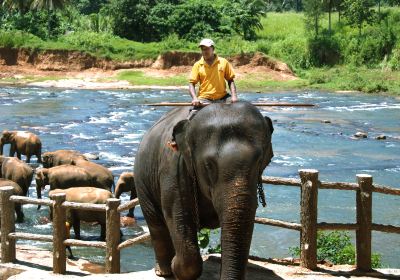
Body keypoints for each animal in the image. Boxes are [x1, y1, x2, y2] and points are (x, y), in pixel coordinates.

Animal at [134, 101, 276, 280]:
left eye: (259, 161)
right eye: (208, 165)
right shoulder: (173, 169)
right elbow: (177, 215)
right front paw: (176, 266)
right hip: (142, 180)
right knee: (156, 223)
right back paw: (164, 271)